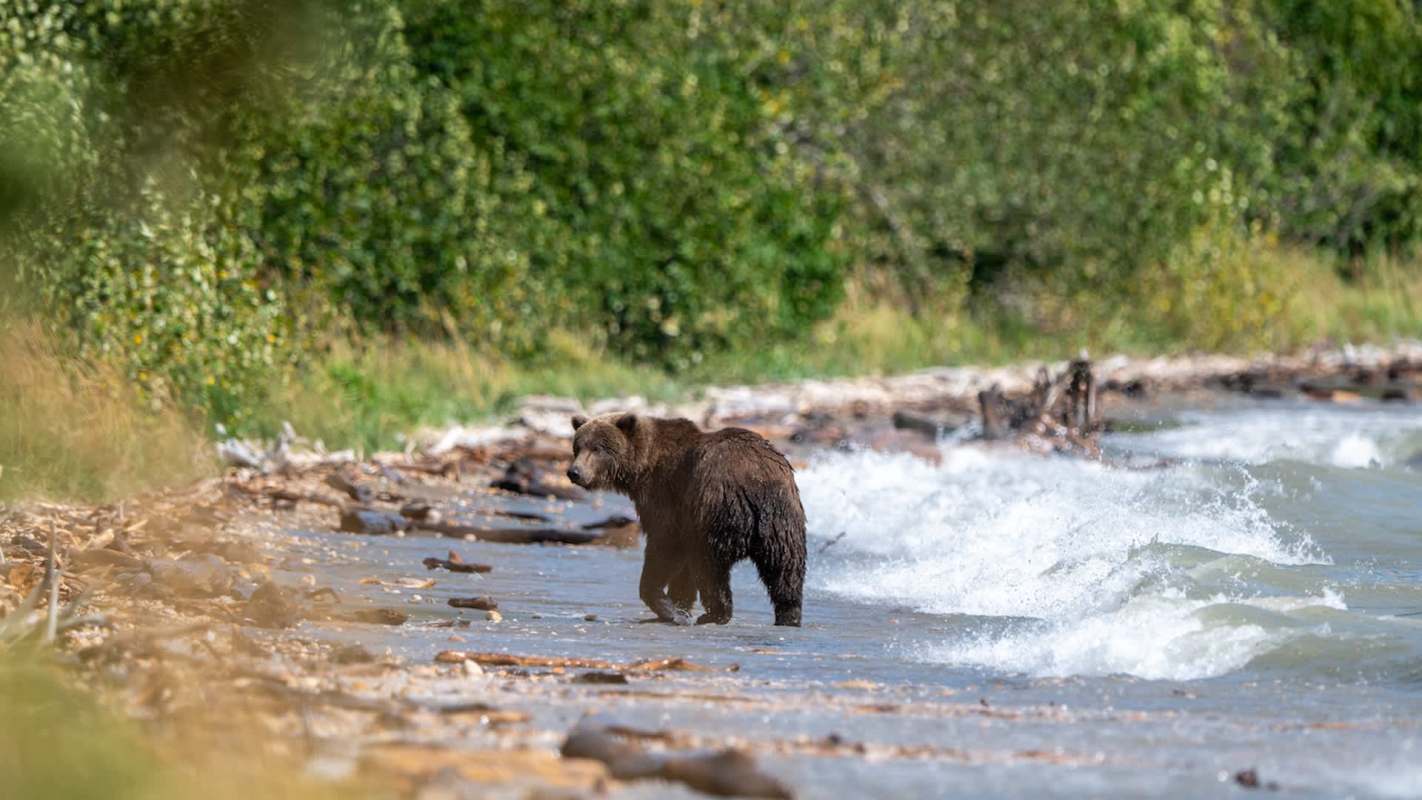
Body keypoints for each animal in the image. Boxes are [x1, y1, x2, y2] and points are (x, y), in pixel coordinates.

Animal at [566, 412, 806, 627]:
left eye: (597, 448)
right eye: (577, 447)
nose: (574, 472)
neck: (642, 468)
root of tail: (755, 482)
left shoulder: (668, 496)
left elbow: (664, 546)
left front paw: (667, 607)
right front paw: (679, 605)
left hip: (716, 508)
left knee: (711, 567)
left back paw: (715, 614)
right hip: (782, 520)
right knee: (786, 568)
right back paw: (788, 615)